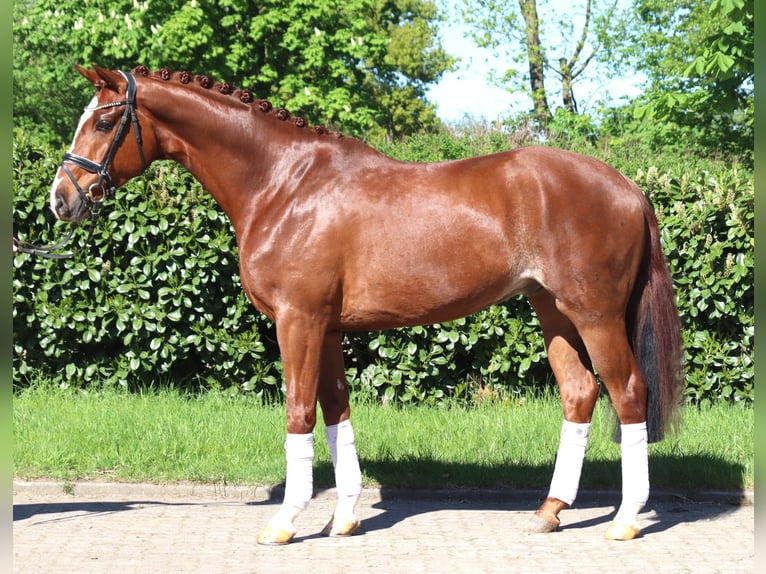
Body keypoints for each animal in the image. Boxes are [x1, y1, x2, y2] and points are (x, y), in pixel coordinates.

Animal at [49, 65, 684, 544]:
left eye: (104, 120)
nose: (61, 199)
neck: (283, 185)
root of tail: (629, 188)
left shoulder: (298, 321)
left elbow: (299, 412)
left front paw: (285, 522)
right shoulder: (326, 328)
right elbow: (336, 410)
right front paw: (346, 516)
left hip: (594, 314)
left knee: (628, 392)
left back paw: (626, 520)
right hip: (552, 310)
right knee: (579, 394)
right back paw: (550, 512)